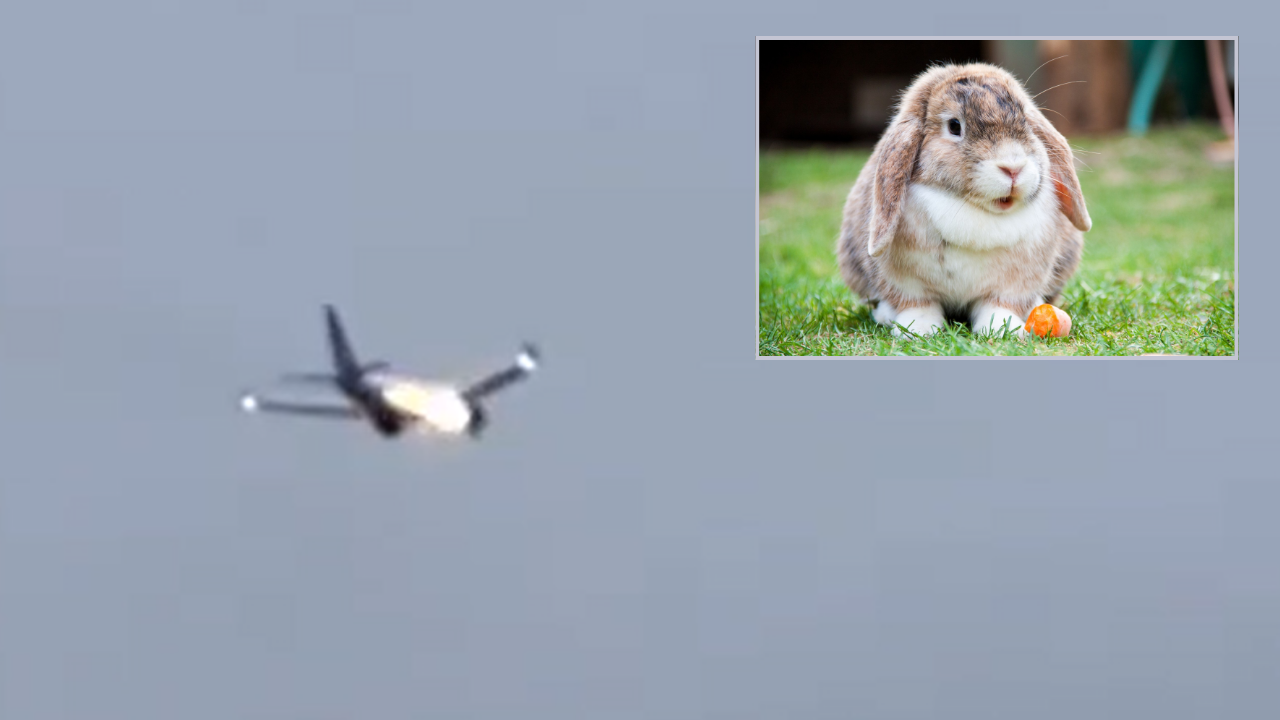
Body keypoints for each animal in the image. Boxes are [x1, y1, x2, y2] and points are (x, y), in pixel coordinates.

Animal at [836, 62, 1092, 339]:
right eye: (954, 126)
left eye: (1025, 120)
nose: (1013, 168)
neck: (974, 210)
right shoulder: (906, 283)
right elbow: (918, 305)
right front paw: (918, 330)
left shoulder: (1013, 284)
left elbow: (998, 306)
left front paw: (1003, 330)